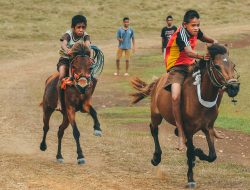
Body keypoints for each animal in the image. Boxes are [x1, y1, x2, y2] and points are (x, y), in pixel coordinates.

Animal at [130, 43, 239, 188]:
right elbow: (191, 151)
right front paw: (191, 178)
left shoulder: (208, 127)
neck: (202, 96)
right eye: (217, 66)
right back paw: (156, 157)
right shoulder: (189, 128)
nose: (234, 87)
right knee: (154, 129)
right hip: (156, 114)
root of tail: (159, 81)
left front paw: (199, 153)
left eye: (233, 65)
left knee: (177, 133)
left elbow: (212, 155)